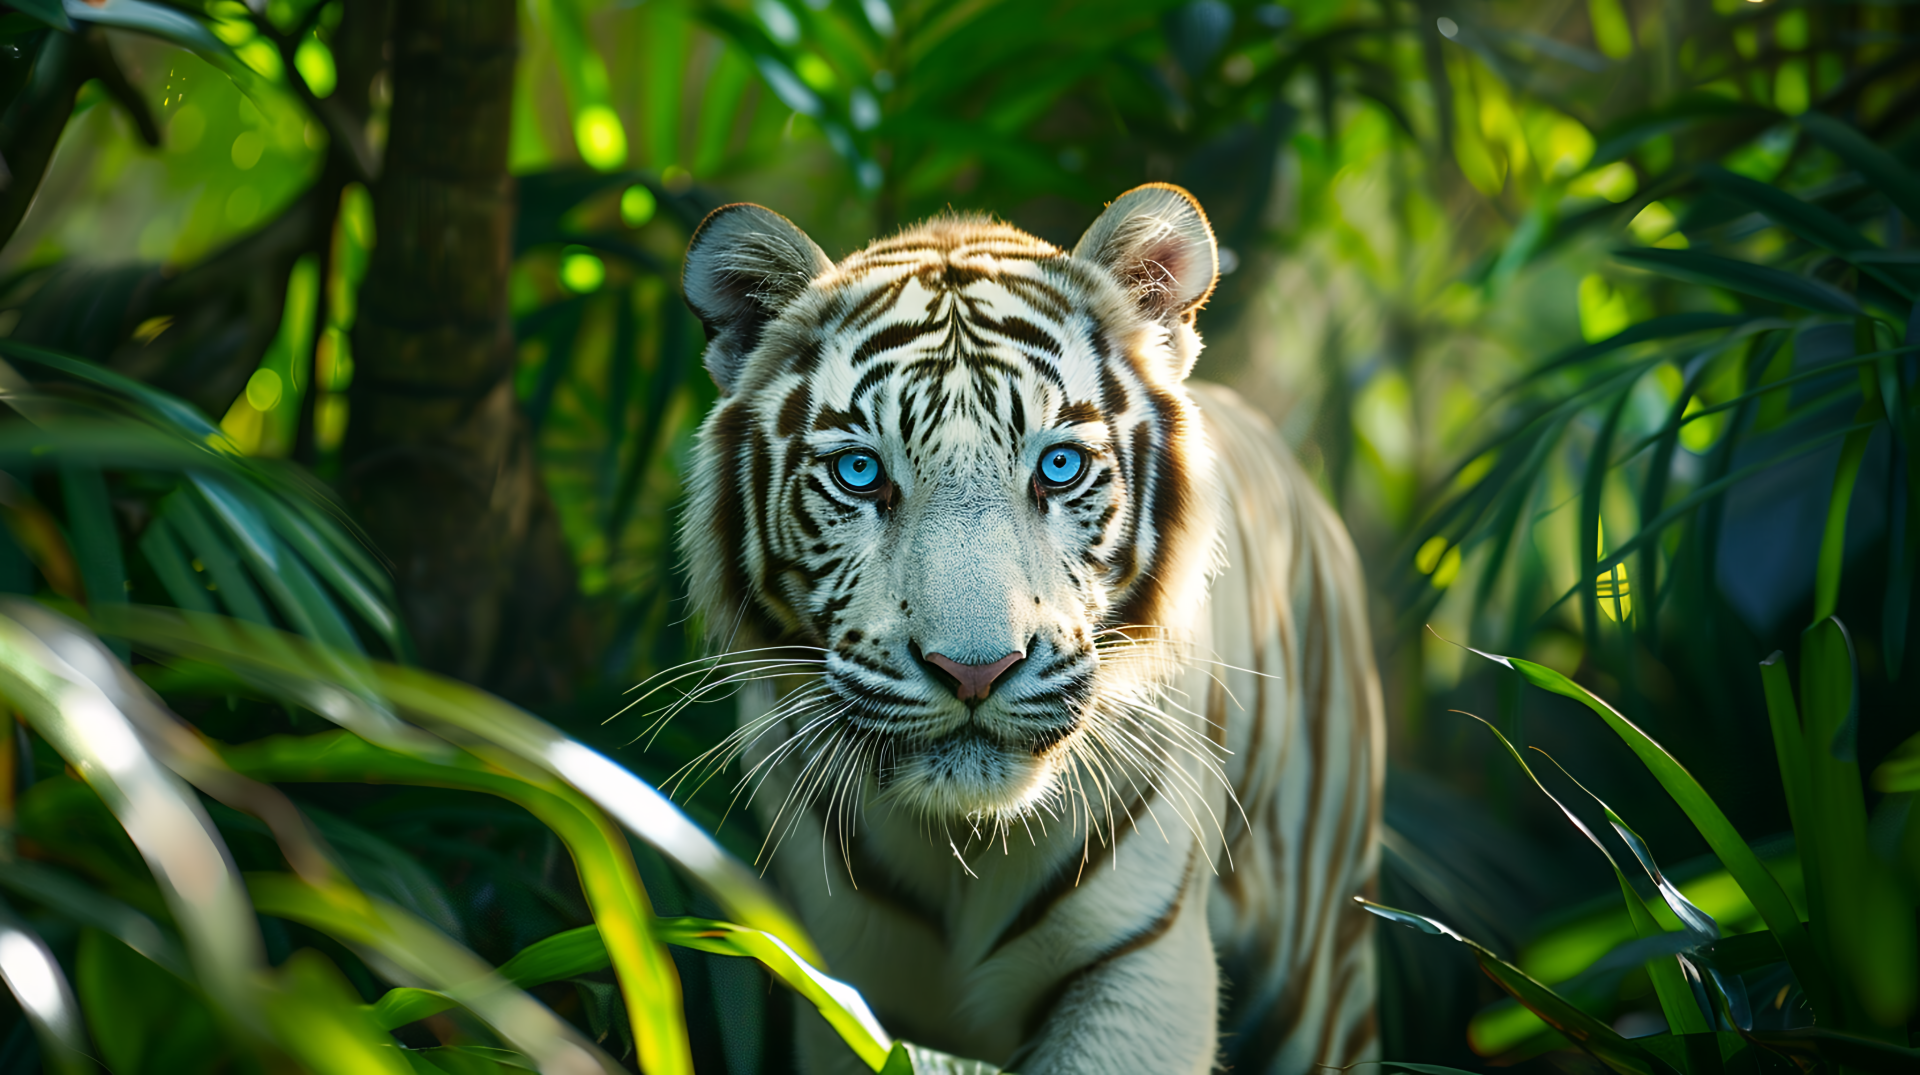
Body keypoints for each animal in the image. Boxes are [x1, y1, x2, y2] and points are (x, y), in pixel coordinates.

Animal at [674, 184, 1384, 1075]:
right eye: (860, 472)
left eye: (1059, 466)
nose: (974, 670)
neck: (963, 843)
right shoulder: (827, 980)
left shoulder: (1138, 965)